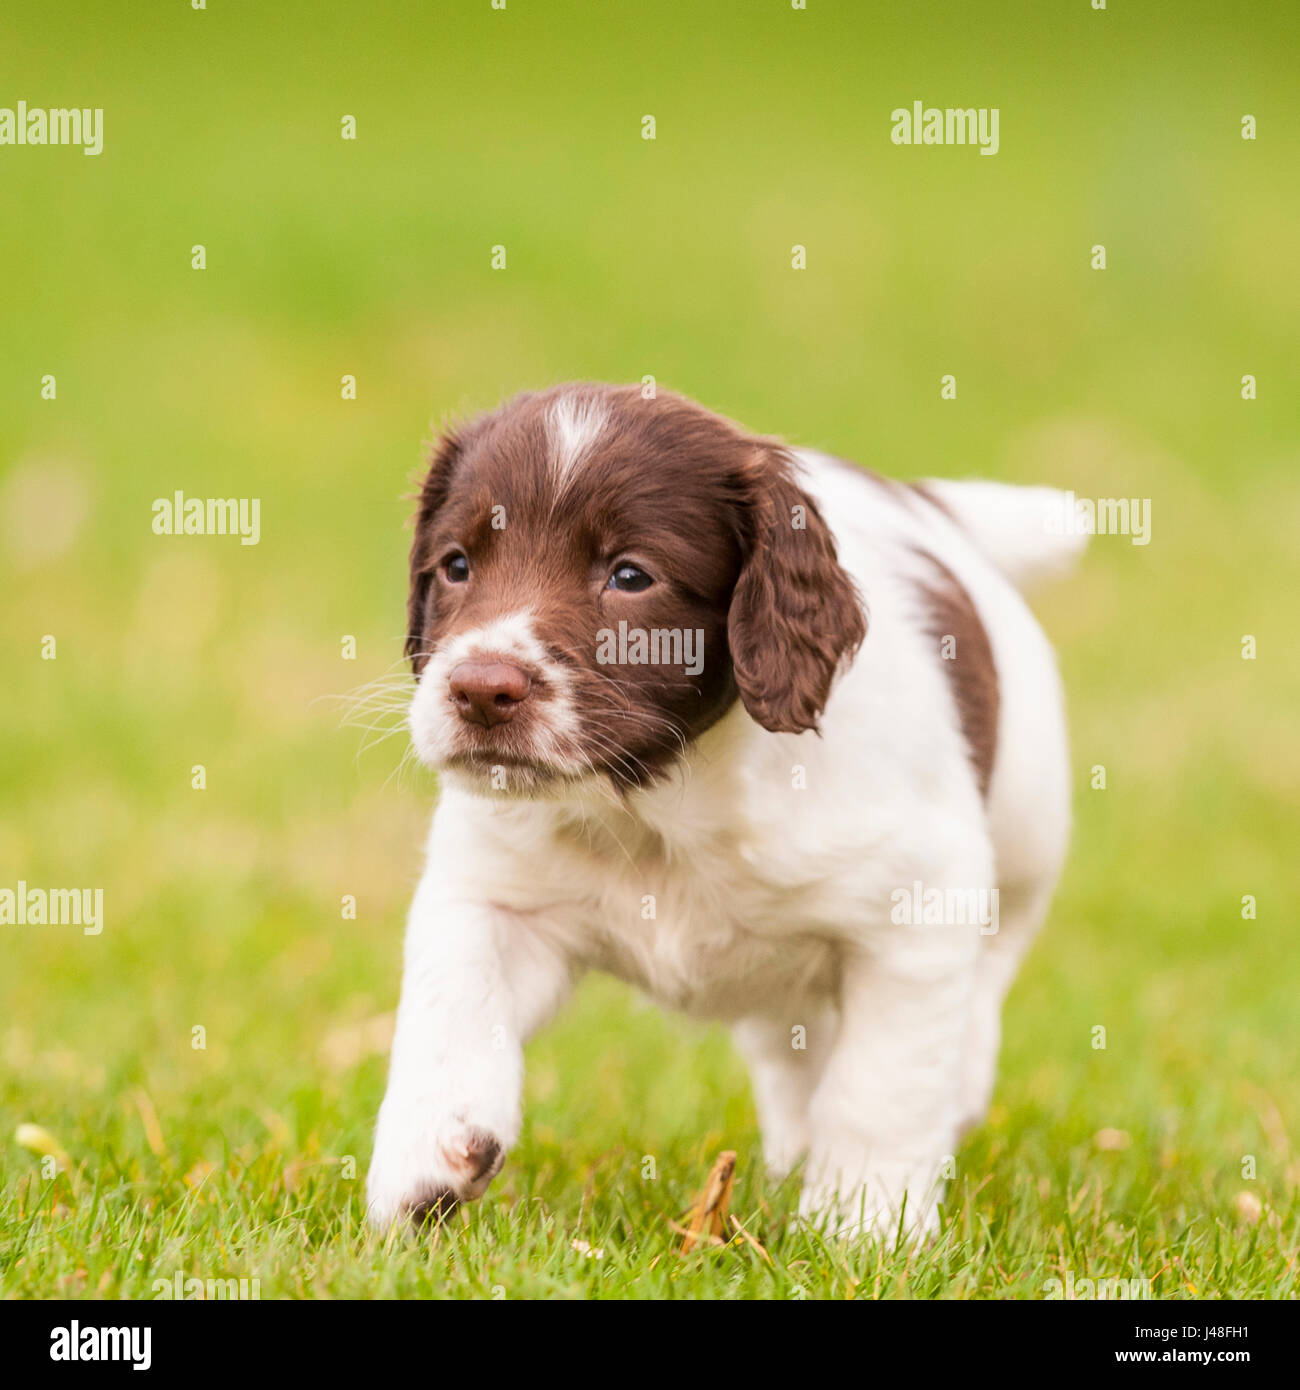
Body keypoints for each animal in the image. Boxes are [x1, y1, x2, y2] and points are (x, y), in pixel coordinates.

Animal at [369, 383, 1090, 1239]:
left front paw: (863, 1228)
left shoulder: (918, 911)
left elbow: (883, 1087)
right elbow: (450, 1004)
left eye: (630, 575)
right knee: (790, 1048)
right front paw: (424, 1157)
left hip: (1025, 841)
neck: (659, 806)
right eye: (456, 565)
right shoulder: (491, 892)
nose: (480, 690)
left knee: (983, 979)